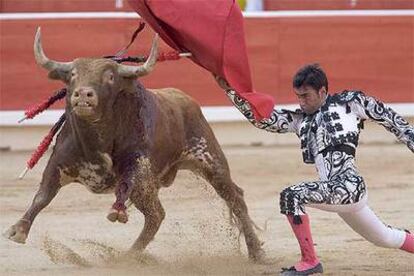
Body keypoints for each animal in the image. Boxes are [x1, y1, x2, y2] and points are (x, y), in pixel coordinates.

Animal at [4, 27, 266, 260]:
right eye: (73, 75)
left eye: (110, 76)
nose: (83, 94)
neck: (96, 137)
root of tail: (186, 99)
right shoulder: (58, 164)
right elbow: (42, 196)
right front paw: (18, 230)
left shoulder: (136, 165)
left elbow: (124, 184)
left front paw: (117, 210)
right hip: (151, 186)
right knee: (157, 214)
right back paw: (130, 255)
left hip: (209, 161)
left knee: (235, 199)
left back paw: (256, 253)